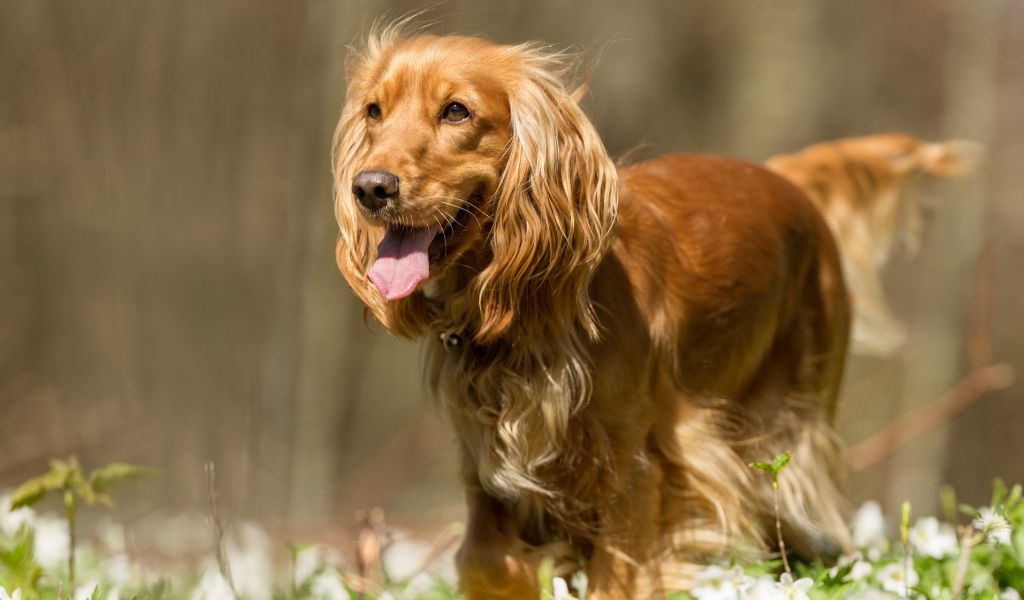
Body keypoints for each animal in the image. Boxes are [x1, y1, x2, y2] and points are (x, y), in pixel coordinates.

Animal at [331, 25, 978, 593]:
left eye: (457, 112)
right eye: (374, 111)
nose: (370, 187)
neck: (526, 318)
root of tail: (784, 176)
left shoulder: (634, 473)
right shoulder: (489, 477)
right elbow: (492, 564)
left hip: (786, 433)